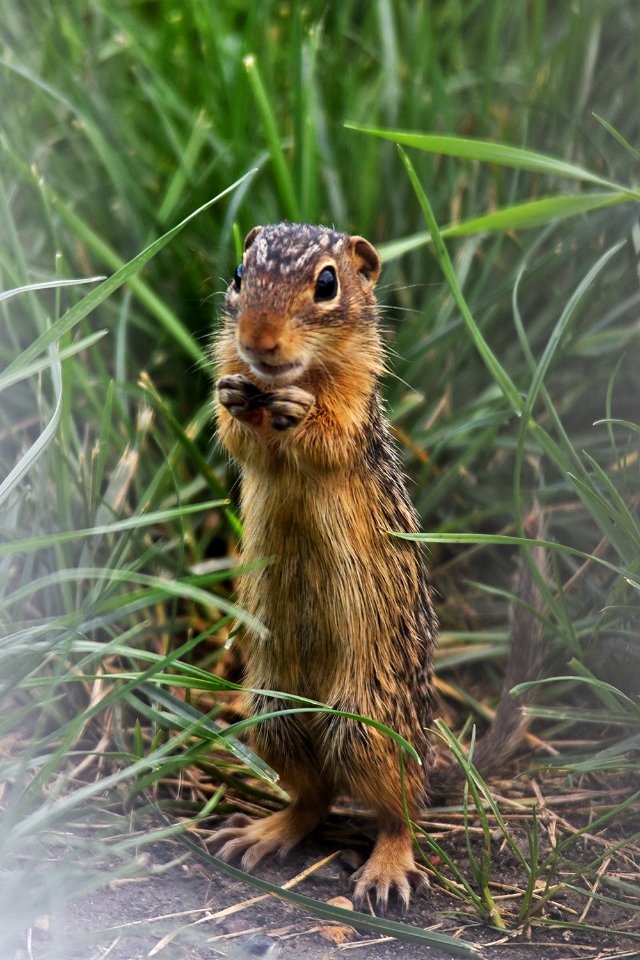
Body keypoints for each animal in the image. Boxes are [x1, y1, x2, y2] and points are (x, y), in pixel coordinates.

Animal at [211, 219, 544, 908]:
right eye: (239, 274)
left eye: (327, 284)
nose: (257, 340)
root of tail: (425, 754)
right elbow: (238, 436)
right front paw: (231, 394)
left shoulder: (355, 410)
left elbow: (328, 434)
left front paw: (298, 411)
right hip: (274, 718)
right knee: (312, 800)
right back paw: (263, 832)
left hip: (368, 730)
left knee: (399, 812)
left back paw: (388, 866)